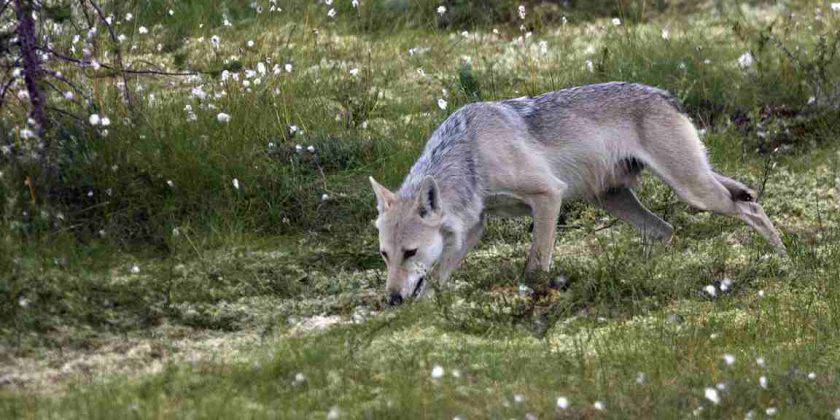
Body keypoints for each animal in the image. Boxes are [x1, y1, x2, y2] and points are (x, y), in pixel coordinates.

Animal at [370, 82, 785, 305]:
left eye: (410, 252)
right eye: (385, 255)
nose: (391, 300)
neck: (470, 152)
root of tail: (664, 95)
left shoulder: (548, 197)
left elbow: (536, 265)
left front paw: (533, 297)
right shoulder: (473, 228)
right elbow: (435, 280)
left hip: (692, 190)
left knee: (750, 207)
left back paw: (784, 258)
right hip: (618, 198)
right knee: (671, 228)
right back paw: (647, 273)